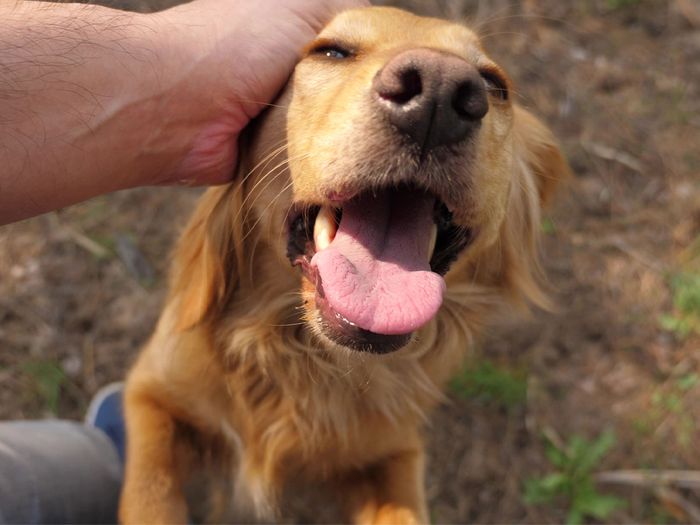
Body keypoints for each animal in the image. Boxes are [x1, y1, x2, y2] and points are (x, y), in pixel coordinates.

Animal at [119, 5, 568, 524]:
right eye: (332, 51)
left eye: (495, 84)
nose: (438, 92)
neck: (305, 364)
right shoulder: (151, 392)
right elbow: (150, 495)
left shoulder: (396, 453)